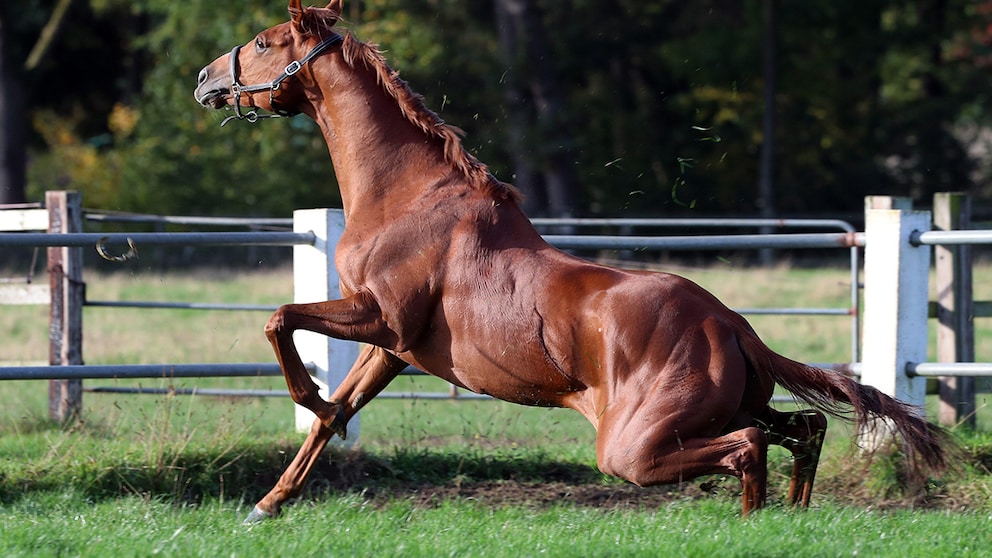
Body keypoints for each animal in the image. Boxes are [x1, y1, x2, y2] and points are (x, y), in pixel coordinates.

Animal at [194, 1, 944, 524]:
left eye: (262, 41)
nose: (203, 79)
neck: (405, 196)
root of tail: (732, 325)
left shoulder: (379, 319)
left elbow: (280, 319)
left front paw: (306, 394)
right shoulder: (393, 349)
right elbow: (332, 416)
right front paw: (269, 502)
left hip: (637, 445)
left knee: (750, 448)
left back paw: (756, 524)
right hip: (729, 408)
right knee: (803, 429)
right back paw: (788, 516)